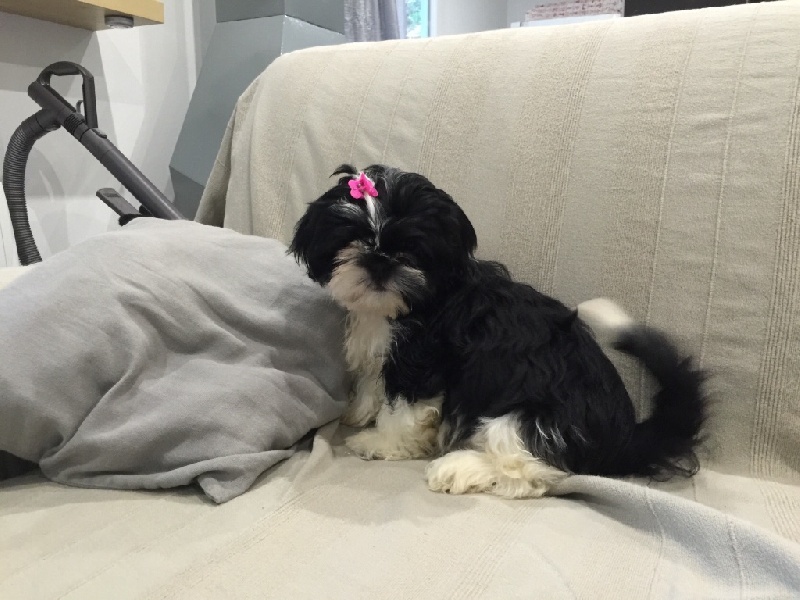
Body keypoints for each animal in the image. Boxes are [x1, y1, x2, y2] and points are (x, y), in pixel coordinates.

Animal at [290, 164, 707, 498]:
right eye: (350, 237)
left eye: (412, 247)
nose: (379, 260)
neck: (415, 302)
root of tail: (624, 437)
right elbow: (374, 383)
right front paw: (358, 411)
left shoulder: (421, 361)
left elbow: (404, 410)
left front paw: (380, 441)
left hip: (529, 415)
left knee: (529, 469)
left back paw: (461, 468)